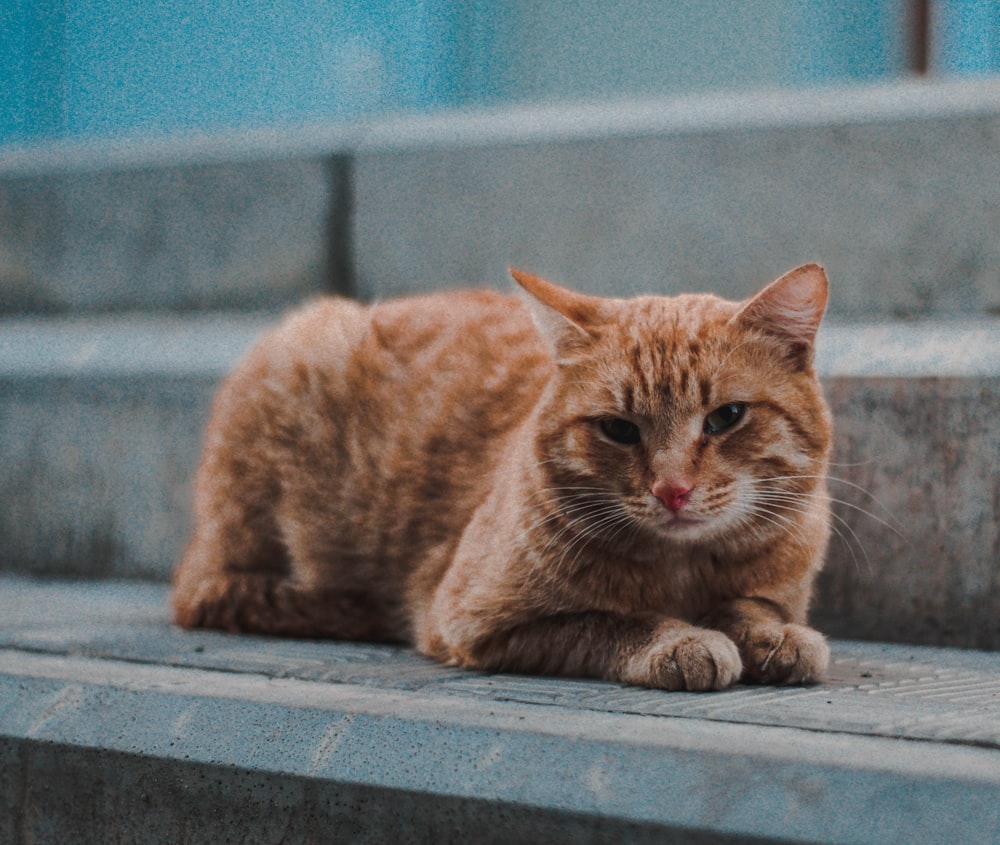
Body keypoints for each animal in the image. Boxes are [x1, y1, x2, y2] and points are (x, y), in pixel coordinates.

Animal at [176, 266, 832, 692]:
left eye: (725, 417)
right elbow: (611, 621)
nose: (672, 490)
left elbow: (752, 606)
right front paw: (680, 639)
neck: (684, 571)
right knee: (221, 594)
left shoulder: (773, 586)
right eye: (618, 429)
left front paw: (775, 636)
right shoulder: (478, 622)